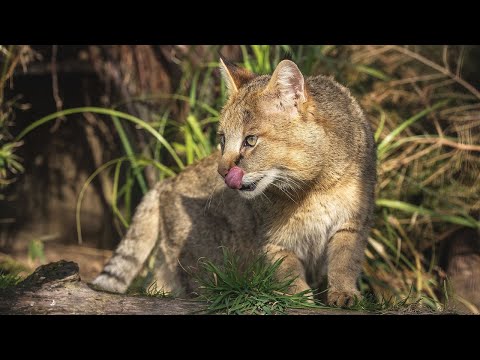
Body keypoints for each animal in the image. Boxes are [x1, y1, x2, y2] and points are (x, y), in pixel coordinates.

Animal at [91, 57, 376, 306]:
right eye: (222, 139)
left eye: (250, 140)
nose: (222, 170)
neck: (313, 187)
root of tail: (167, 182)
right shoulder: (274, 241)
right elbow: (290, 274)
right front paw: (300, 299)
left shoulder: (352, 224)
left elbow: (344, 262)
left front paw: (344, 293)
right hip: (196, 265)